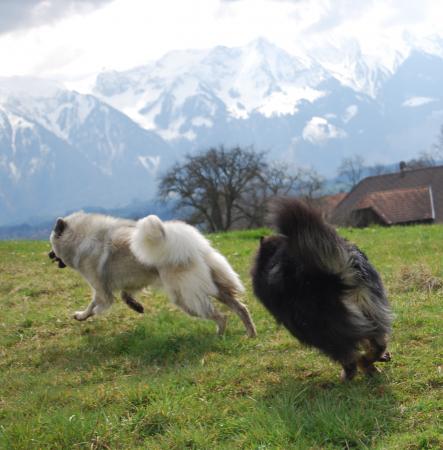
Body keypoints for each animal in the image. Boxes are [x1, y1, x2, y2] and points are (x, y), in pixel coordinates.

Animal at [251, 197, 394, 380]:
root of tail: (339, 273)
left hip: (325, 329)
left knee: (348, 355)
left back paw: (352, 372)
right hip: (371, 310)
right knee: (377, 343)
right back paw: (371, 362)